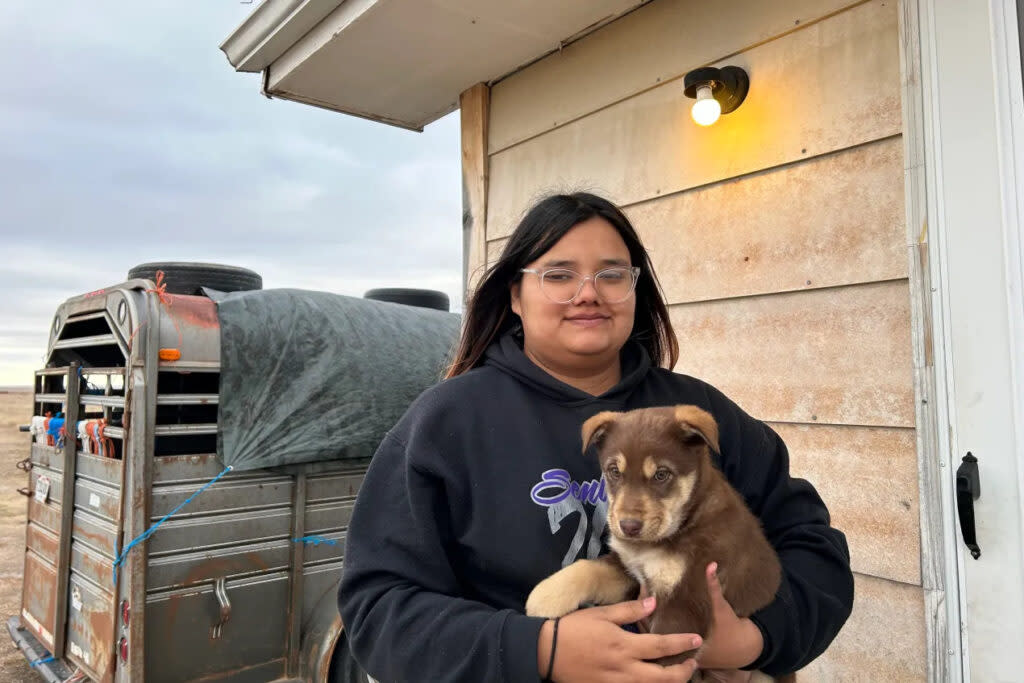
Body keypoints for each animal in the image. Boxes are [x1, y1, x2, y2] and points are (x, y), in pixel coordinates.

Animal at [524, 403, 786, 679]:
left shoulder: (686, 601)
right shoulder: (632, 573)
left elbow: (658, 662)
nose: (628, 527)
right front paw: (545, 597)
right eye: (614, 472)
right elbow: (588, 567)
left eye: (662, 475)